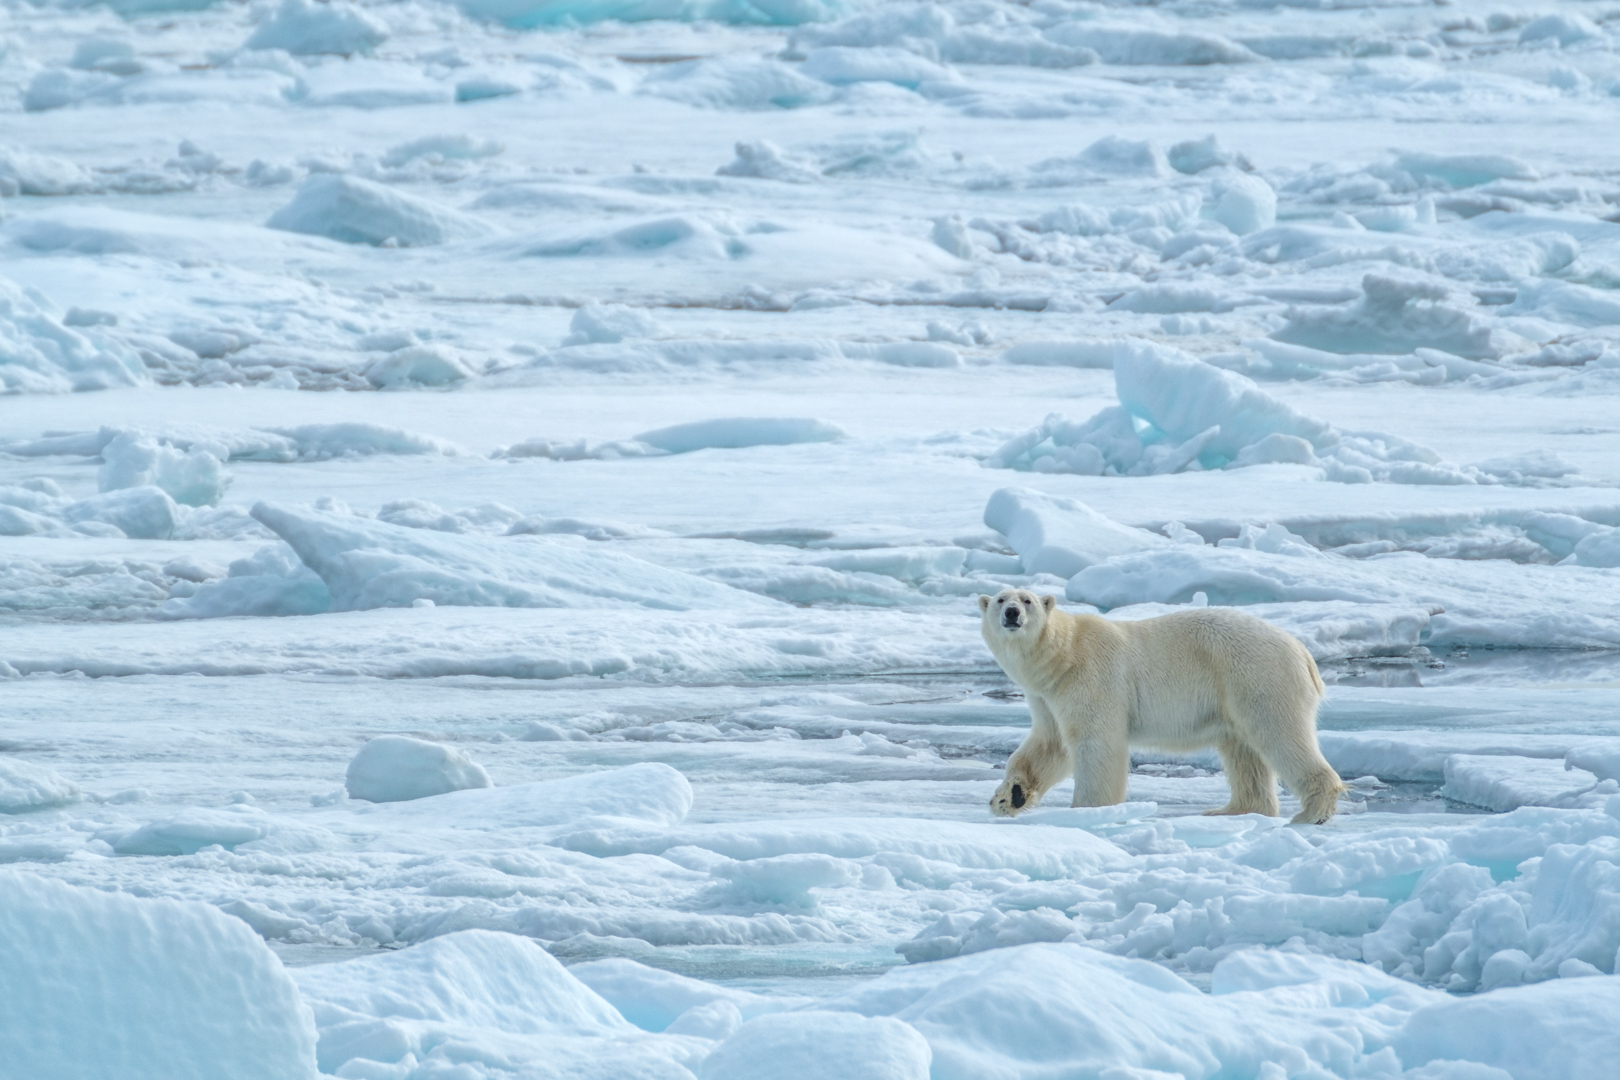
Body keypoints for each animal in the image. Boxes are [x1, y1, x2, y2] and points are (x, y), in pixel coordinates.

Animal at [978, 592, 1347, 829]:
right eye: (1000, 599)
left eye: (1027, 600)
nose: (1012, 613)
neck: (1064, 654)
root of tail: (1301, 650)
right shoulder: (1046, 695)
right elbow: (1049, 744)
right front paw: (1008, 797)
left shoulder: (1091, 678)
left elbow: (1095, 742)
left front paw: (1087, 810)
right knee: (1243, 751)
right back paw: (1230, 811)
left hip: (1257, 676)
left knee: (1279, 734)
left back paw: (1311, 812)